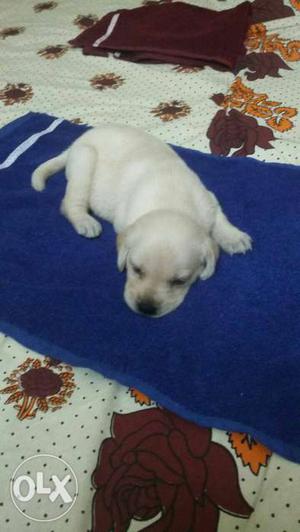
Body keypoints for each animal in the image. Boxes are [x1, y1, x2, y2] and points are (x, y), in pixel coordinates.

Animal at [31, 124, 252, 316]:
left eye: (179, 281)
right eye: (136, 269)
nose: (146, 308)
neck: (171, 203)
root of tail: (74, 144)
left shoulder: (208, 200)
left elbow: (220, 218)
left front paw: (234, 238)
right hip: (84, 161)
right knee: (69, 203)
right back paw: (85, 222)